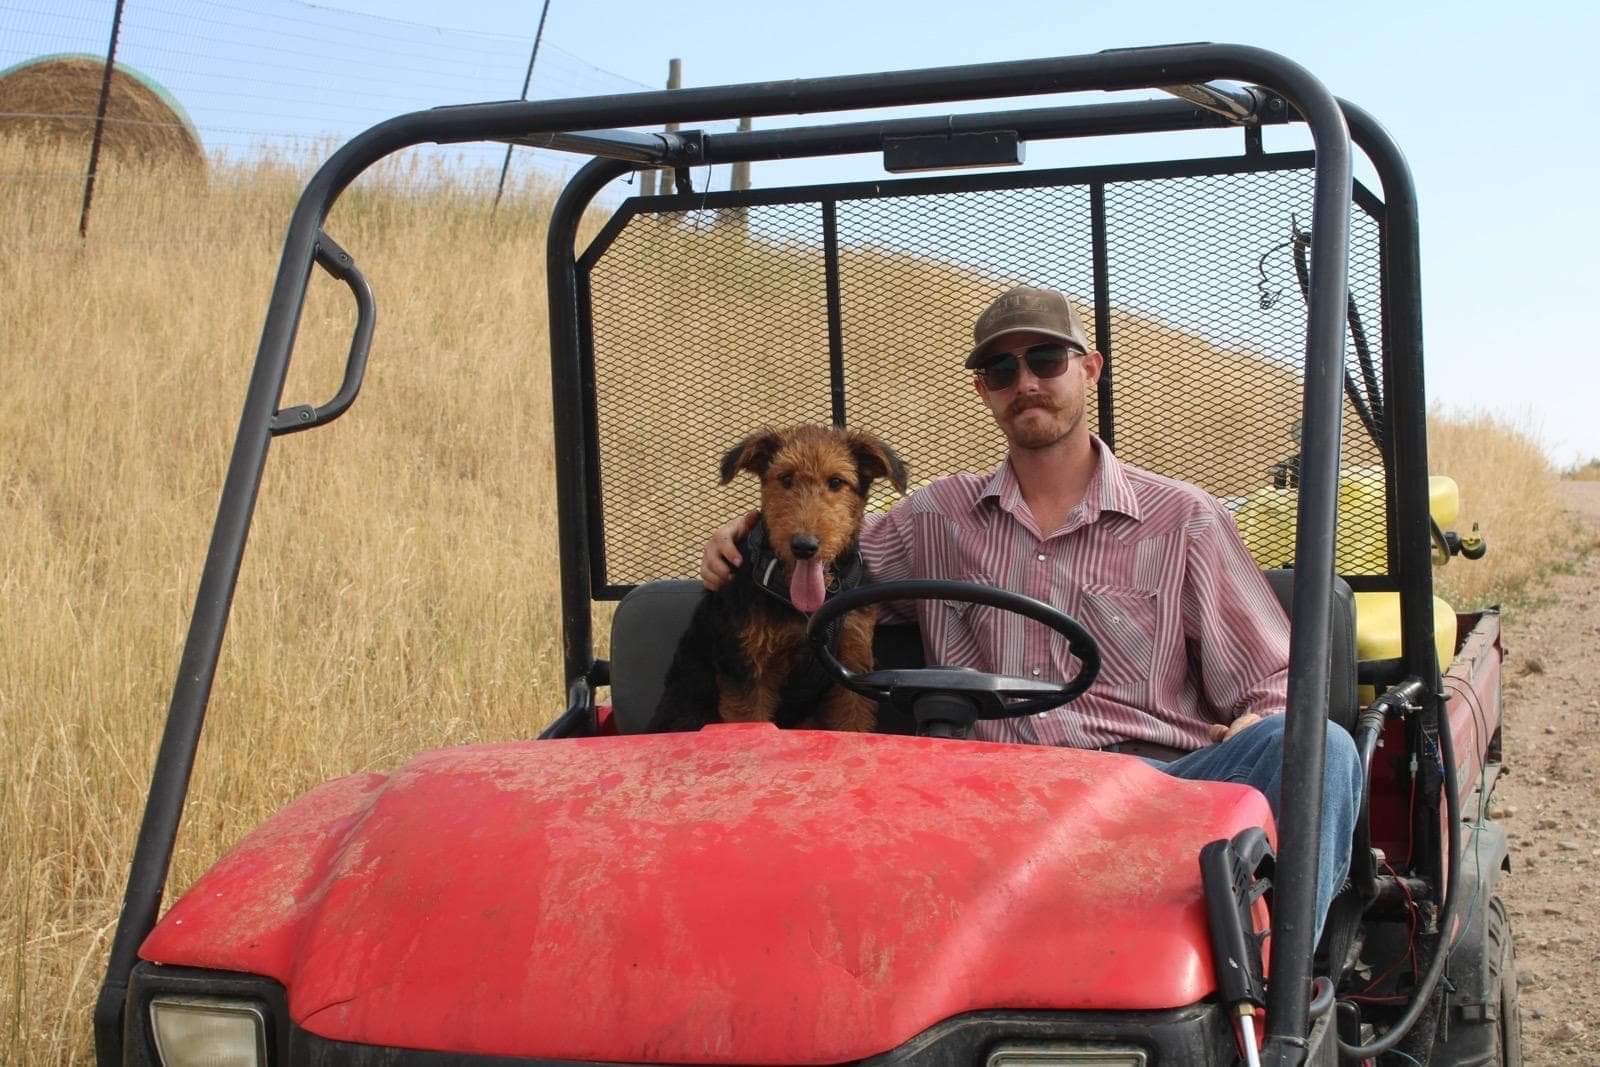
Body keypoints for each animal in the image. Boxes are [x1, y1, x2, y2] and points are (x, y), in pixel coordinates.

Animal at [646, 425, 902, 735]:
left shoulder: (850, 664)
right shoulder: (747, 670)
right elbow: (751, 722)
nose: (804, 546)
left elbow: (852, 724)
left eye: (836, 482)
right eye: (786, 478)